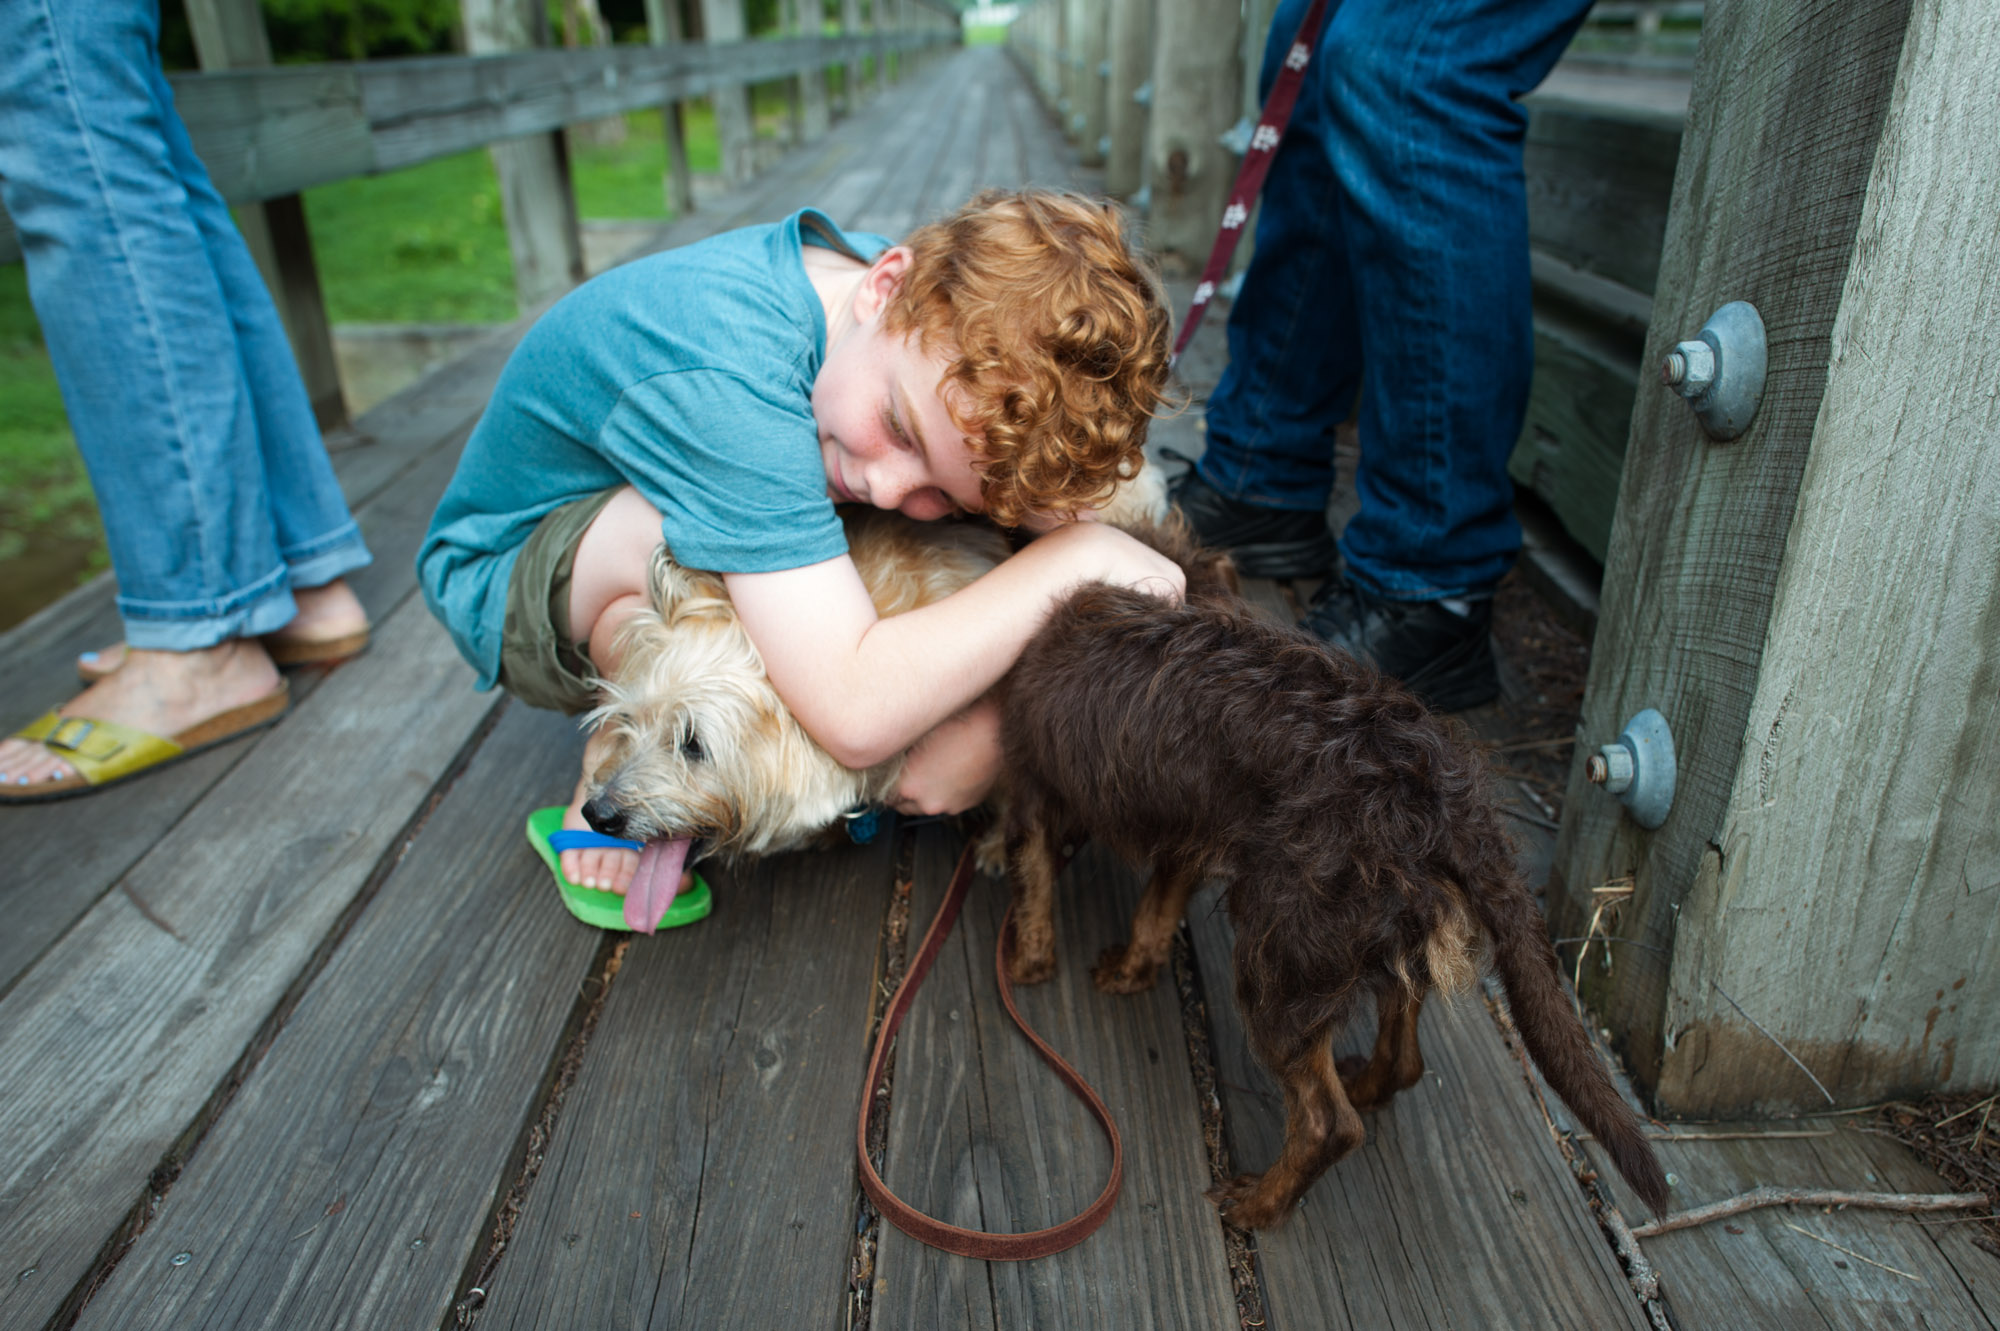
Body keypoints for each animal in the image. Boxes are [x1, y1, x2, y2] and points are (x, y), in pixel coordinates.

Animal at [1000, 535, 1672, 1223]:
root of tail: (1447, 806)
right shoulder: (1187, 835)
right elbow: (1154, 911)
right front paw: (1134, 969)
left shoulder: (1029, 790)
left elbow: (1033, 882)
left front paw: (1029, 962)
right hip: (1377, 936)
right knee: (1403, 1056)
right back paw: (1367, 1084)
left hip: (1280, 959)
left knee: (1329, 1124)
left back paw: (1257, 1205)